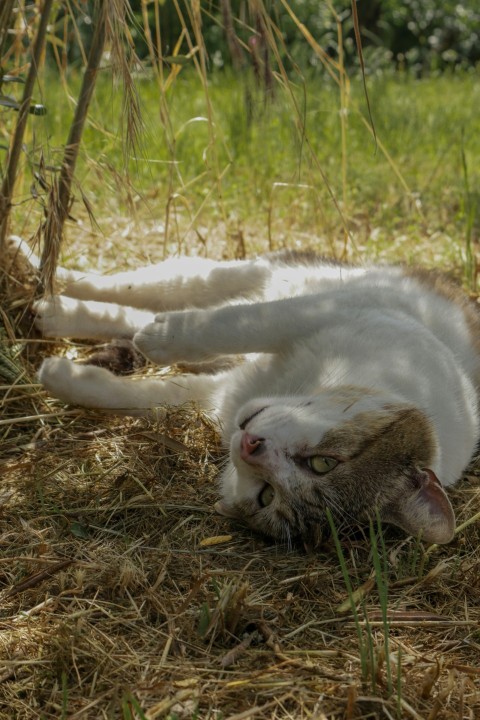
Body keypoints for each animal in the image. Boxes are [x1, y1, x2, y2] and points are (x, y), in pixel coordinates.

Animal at [17, 236, 480, 544]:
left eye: (265, 496)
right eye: (325, 463)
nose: (251, 446)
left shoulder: (220, 398)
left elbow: (147, 398)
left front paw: (62, 378)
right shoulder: (330, 310)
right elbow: (234, 324)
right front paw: (162, 339)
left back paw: (58, 312)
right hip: (275, 272)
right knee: (175, 289)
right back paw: (46, 279)